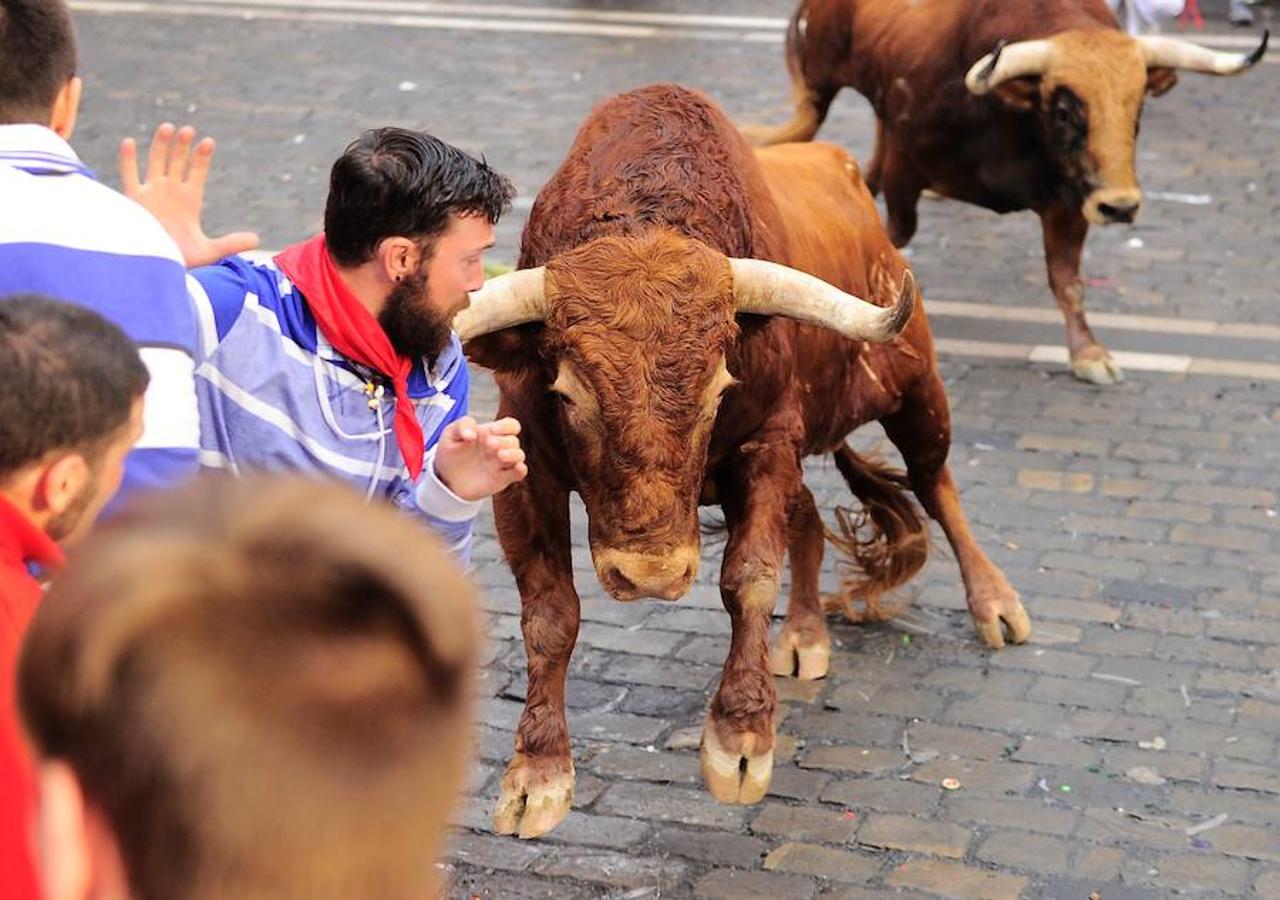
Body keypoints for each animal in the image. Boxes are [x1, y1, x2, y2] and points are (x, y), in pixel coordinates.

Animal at [460, 84, 1029, 844]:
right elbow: (550, 613)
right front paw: (537, 775)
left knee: (937, 487)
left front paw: (740, 741)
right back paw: (807, 633)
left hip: (917, 393)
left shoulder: (767, 443)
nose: (650, 575)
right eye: (569, 392)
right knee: (811, 519)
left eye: (717, 388)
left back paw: (995, 603)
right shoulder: (525, 472)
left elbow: (751, 576)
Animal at [747, 0, 1264, 384]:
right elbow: (895, 238)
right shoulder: (905, 170)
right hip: (818, 85)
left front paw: (1090, 354)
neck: (1009, 116)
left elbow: (1068, 281)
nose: (1120, 206)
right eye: (1064, 110)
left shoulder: (1070, 198)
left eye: (1137, 108)